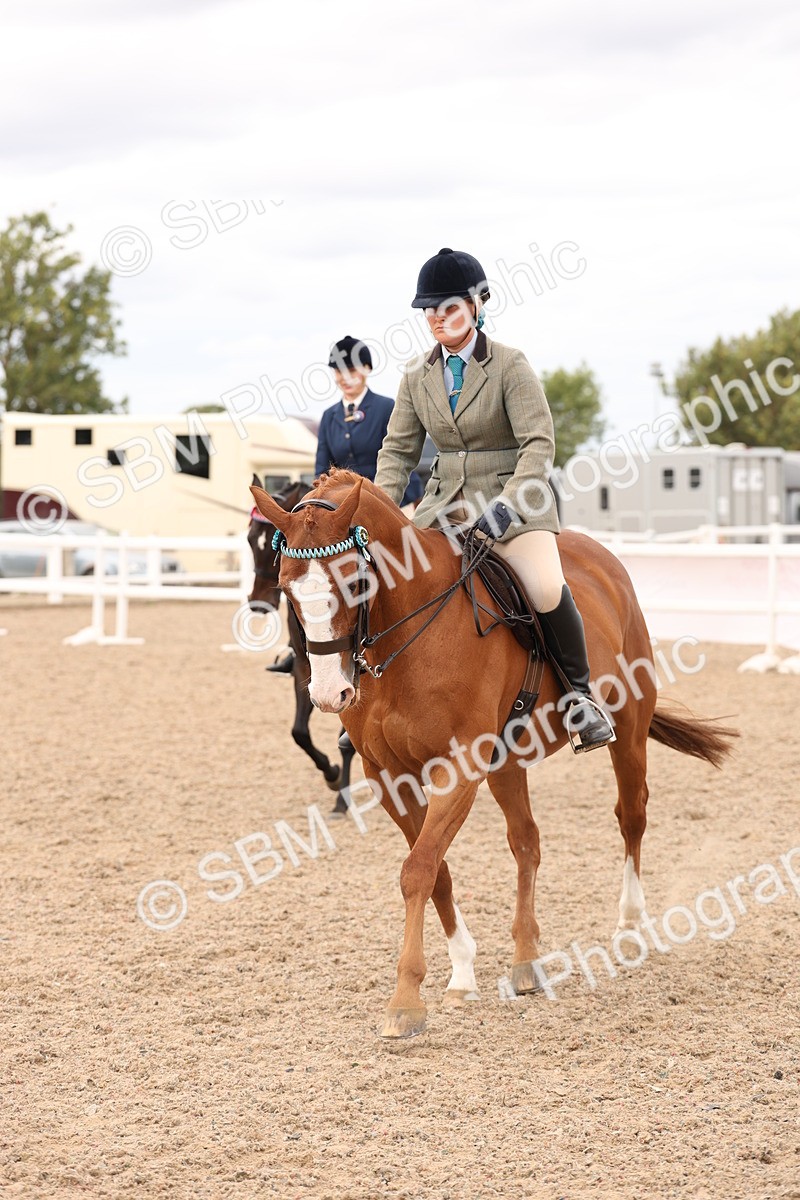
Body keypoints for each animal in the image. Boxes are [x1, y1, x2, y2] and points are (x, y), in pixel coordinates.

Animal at [248, 476, 356, 812]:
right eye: (249, 540)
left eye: (271, 541)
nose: (258, 603)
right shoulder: (304, 667)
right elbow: (299, 733)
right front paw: (332, 775)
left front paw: (343, 796)